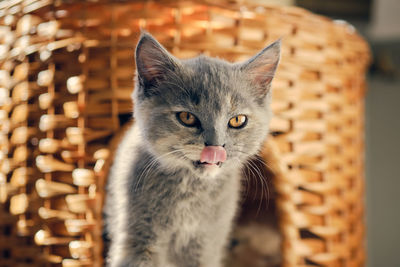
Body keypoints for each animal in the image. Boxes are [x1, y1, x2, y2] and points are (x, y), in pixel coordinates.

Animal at [105, 31, 282, 267]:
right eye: (187, 117)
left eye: (237, 120)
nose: (215, 146)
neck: (190, 189)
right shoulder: (137, 239)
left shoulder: (206, 245)